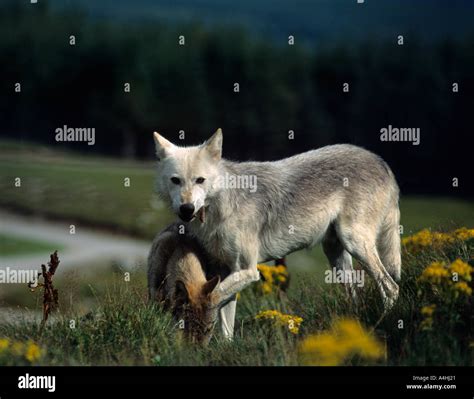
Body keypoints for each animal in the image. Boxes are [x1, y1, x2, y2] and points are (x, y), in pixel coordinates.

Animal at [152, 130, 400, 340]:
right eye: (176, 180)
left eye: (200, 180)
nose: (186, 209)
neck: (220, 206)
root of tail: (382, 163)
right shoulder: (223, 271)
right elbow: (226, 322)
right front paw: (224, 349)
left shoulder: (248, 271)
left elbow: (213, 298)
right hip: (337, 256)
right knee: (355, 296)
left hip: (355, 243)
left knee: (391, 287)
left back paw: (380, 325)